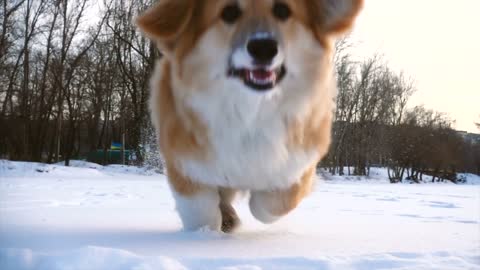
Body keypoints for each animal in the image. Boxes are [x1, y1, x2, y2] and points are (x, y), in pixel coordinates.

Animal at [137, 0, 362, 232]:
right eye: (229, 12)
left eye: (283, 10)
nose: (263, 47)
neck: (252, 111)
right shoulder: (184, 160)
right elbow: (201, 209)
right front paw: (207, 232)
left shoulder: (300, 161)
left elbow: (270, 204)